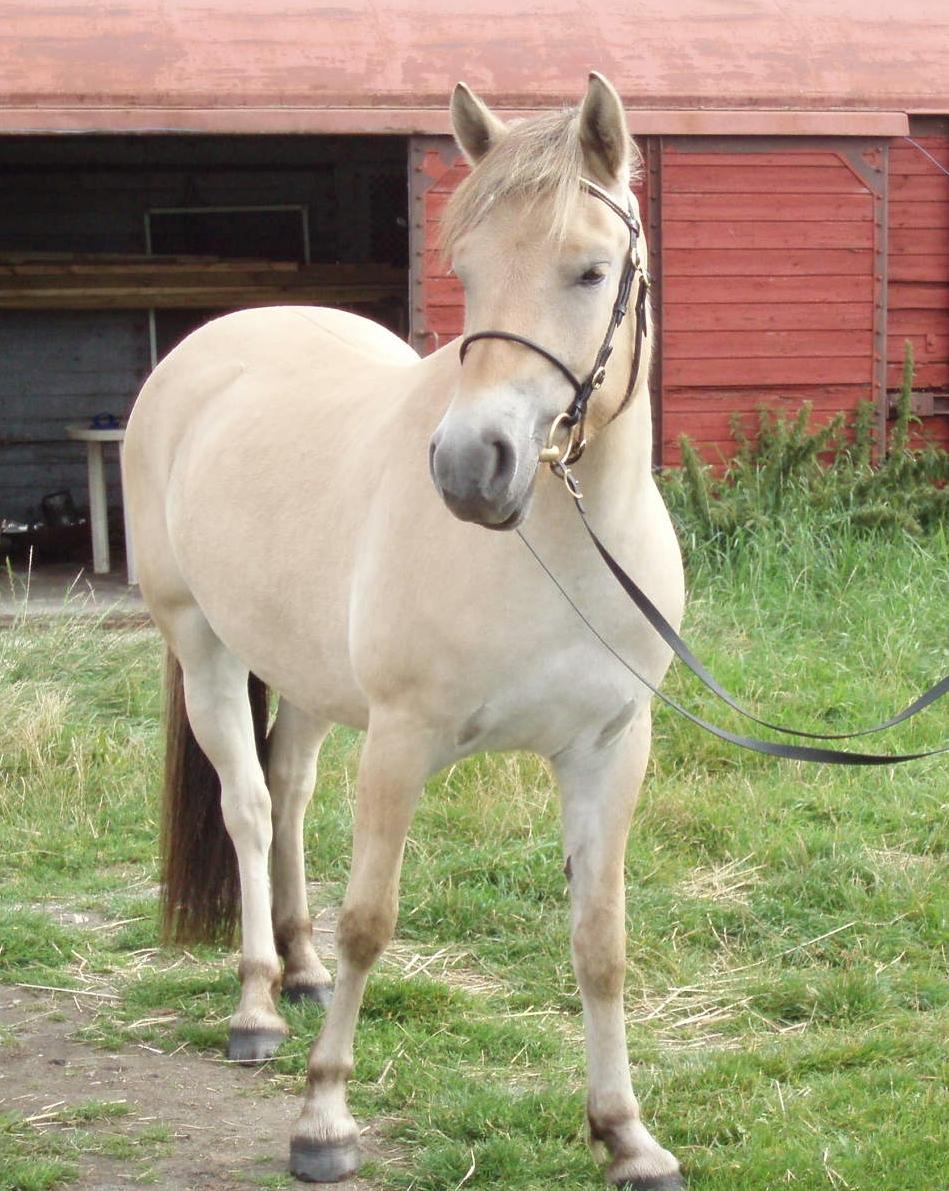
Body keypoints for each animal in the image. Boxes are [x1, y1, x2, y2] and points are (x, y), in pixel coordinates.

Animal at [125, 69, 685, 1186]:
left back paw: (295, 971)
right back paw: (256, 1004)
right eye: (465, 268)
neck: (553, 555)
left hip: (301, 674)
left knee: (290, 789)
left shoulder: (611, 748)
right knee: (249, 808)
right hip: (203, 649)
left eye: (590, 270)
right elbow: (371, 922)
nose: (472, 467)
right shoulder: (400, 741)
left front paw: (624, 1133)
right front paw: (324, 1120)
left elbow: (600, 940)